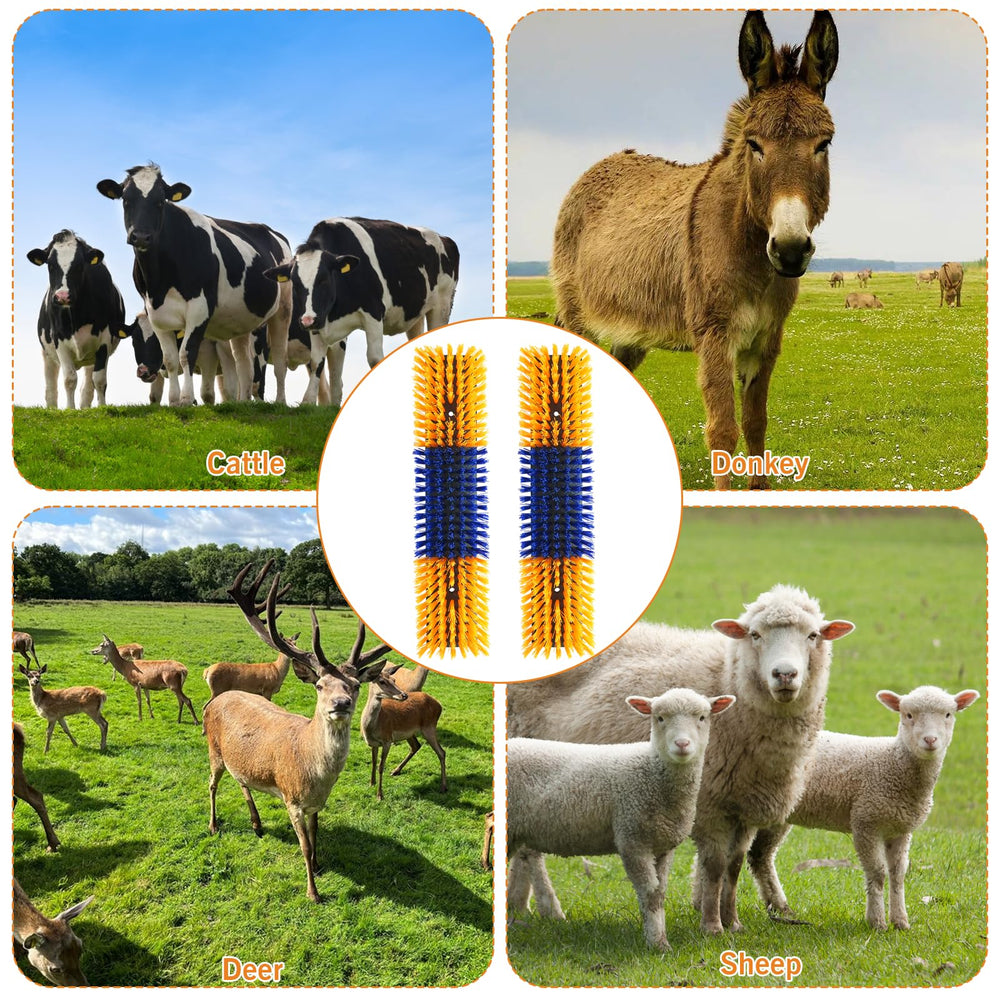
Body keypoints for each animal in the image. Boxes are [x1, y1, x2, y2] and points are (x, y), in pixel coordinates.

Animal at [27, 230, 126, 409]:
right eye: (50, 265)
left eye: (80, 265)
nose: (62, 296)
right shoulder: (58, 339)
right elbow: (69, 379)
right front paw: (70, 409)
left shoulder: (104, 339)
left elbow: (99, 380)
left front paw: (102, 408)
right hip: (47, 353)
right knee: (50, 387)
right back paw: (52, 408)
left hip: (92, 356)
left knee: (88, 385)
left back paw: (85, 408)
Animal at [96, 165, 292, 406]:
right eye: (126, 200)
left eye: (160, 201)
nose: (141, 236)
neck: (160, 281)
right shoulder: (155, 313)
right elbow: (170, 359)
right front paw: (173, 401)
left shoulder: (200, 308)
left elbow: (186, 354)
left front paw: (186, 399)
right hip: (242, 320)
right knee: (243, 362)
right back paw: (243, 402)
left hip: (283, 310)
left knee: (280, 359)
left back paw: (280, 401)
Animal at [264, 217, 459, 406]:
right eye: (295, 283)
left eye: (324, 279)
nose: (307, 321)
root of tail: (444, 238)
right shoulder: (318, 320)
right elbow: (317, 361)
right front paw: (311, 401)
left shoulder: (373, 312)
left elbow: (374, 358)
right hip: (415, 315)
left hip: (442, 305)